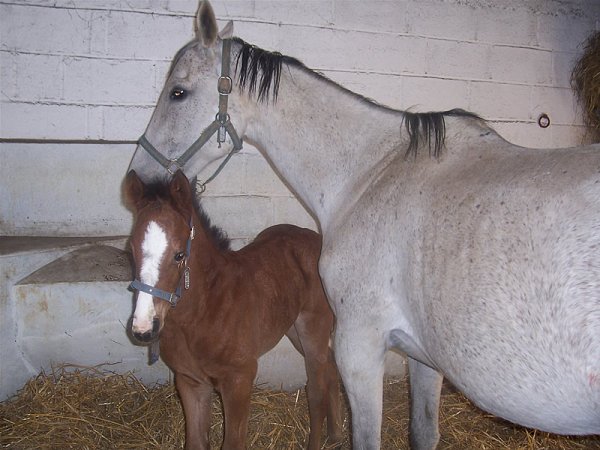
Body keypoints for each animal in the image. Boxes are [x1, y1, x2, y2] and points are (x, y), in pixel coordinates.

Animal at [130, 2, 600, 446]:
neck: (371, 171)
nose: (139, 174)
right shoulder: (422, 357)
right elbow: (422, 433)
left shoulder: (359, 348)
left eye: (177, 92)